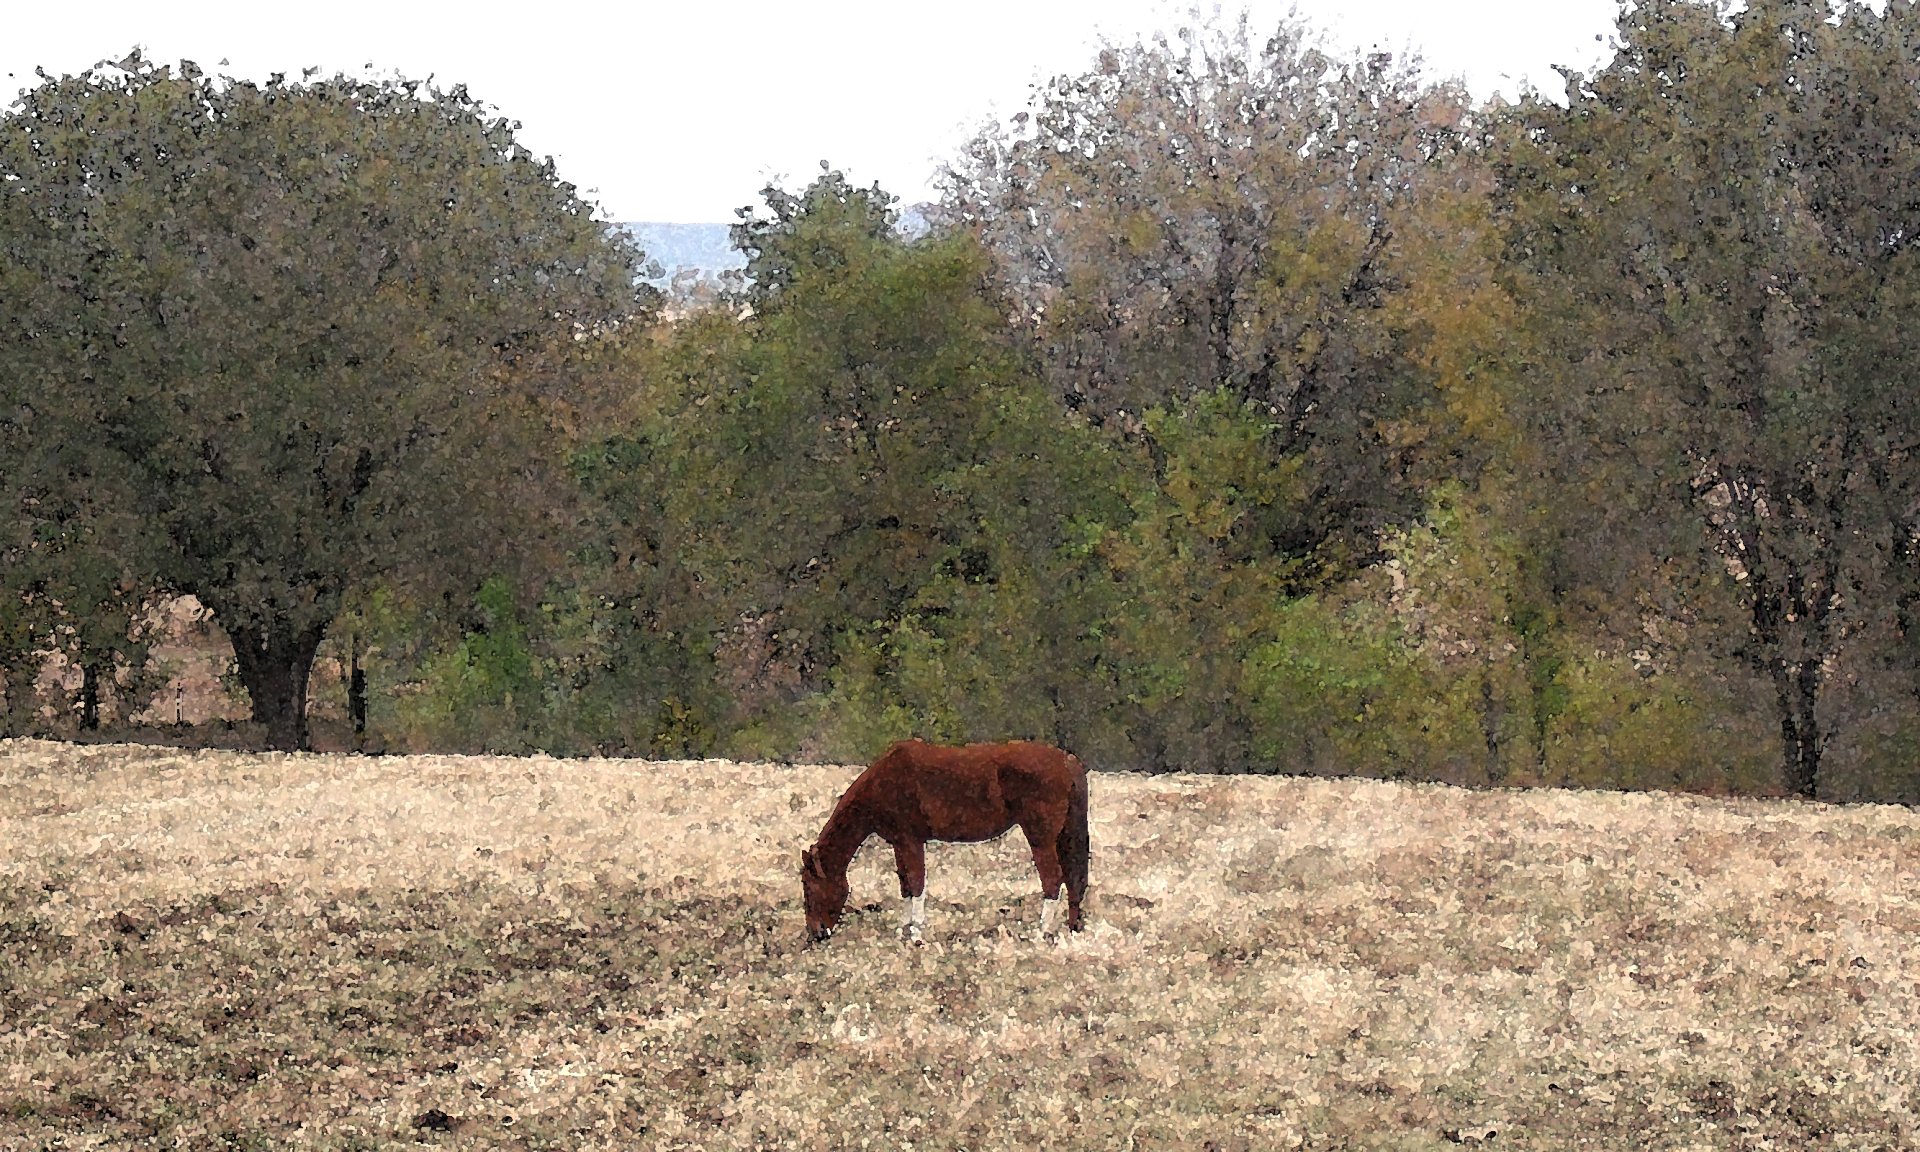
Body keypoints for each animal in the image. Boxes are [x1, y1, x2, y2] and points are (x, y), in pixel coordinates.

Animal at [800, 739, 1089, 943]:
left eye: (810, 887)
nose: (816, 934)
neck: (884, 784)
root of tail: (1065, 761)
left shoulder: (911, 841)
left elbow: (916, 883)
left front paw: (917, 934)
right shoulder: (899, 844)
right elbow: (905, 884)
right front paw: (904, 929)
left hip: (1040, 839)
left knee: (1053, 880)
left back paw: (1041, 932)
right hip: (1063, 836)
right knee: (1073, 881)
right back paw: (1072, 928)